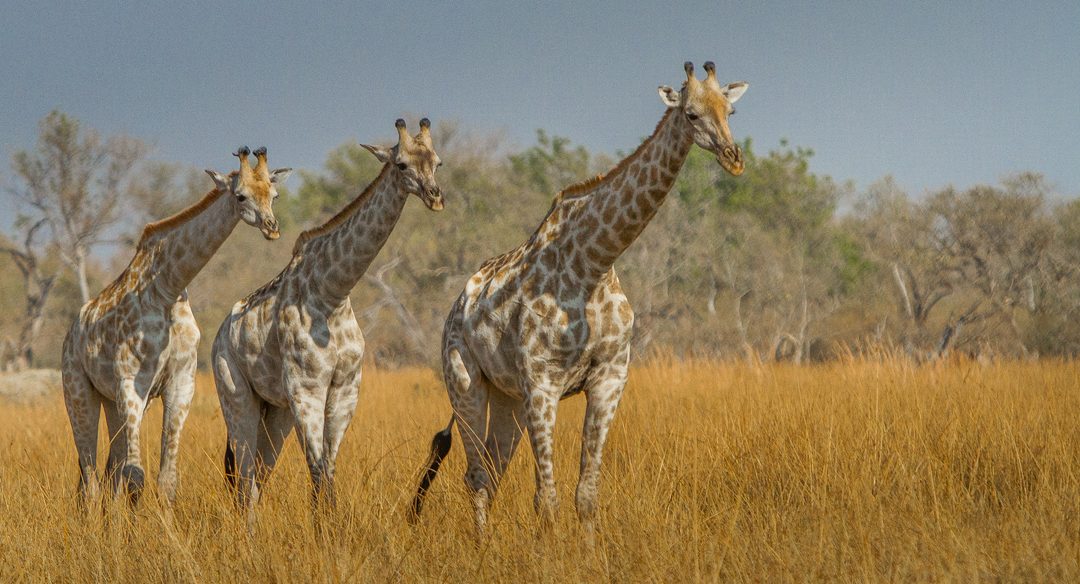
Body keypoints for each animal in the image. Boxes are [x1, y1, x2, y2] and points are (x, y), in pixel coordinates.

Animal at [62, 147, 291, 505]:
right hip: (78, 392)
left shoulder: (180, 383)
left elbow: (165, 480)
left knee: (111, 474)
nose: (272, 227)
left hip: (111, 401)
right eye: (240, 196)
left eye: (274, 194)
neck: (166, 289)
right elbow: (136, 478)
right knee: (91, 480)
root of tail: (72, 333)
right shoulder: (131, 384)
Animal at [212, 118, 442, 516]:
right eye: (401, 165)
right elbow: (319, 472)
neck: (333, 292)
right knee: (243, 481)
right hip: (236, 396)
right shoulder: (307, 390)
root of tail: (219, 336)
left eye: (437, 162)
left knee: (256, 479)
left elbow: (328, 471)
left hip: (275, 410)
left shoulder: (346, 389)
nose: (435, 196)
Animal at [410, 62, 749, 535]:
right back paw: (480, 545)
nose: (733, 159)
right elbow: (546, 500)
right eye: (691, 114)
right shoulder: (542, 384)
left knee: (491, 471)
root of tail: (454, 309)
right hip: (464, 383)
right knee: (475, 473)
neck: (594, 263)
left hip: (507, 399)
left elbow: (586, 495)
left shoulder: (609, 379)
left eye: (730, 111)